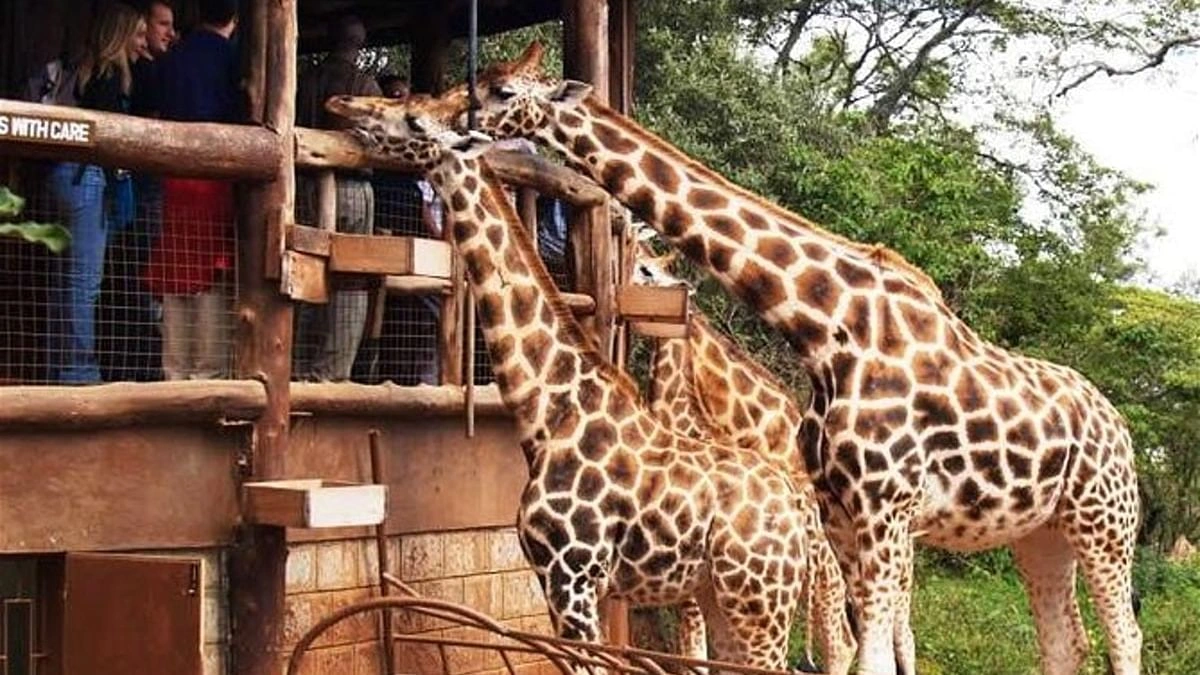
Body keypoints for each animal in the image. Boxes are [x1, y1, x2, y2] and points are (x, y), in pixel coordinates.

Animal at [324, 94, 815, 670]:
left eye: (413, 119)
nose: (343, 104)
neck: (549, 410)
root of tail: (796, 512)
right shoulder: (560, 579)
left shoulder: (572, 576)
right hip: (722, 596)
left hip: (758, 600)